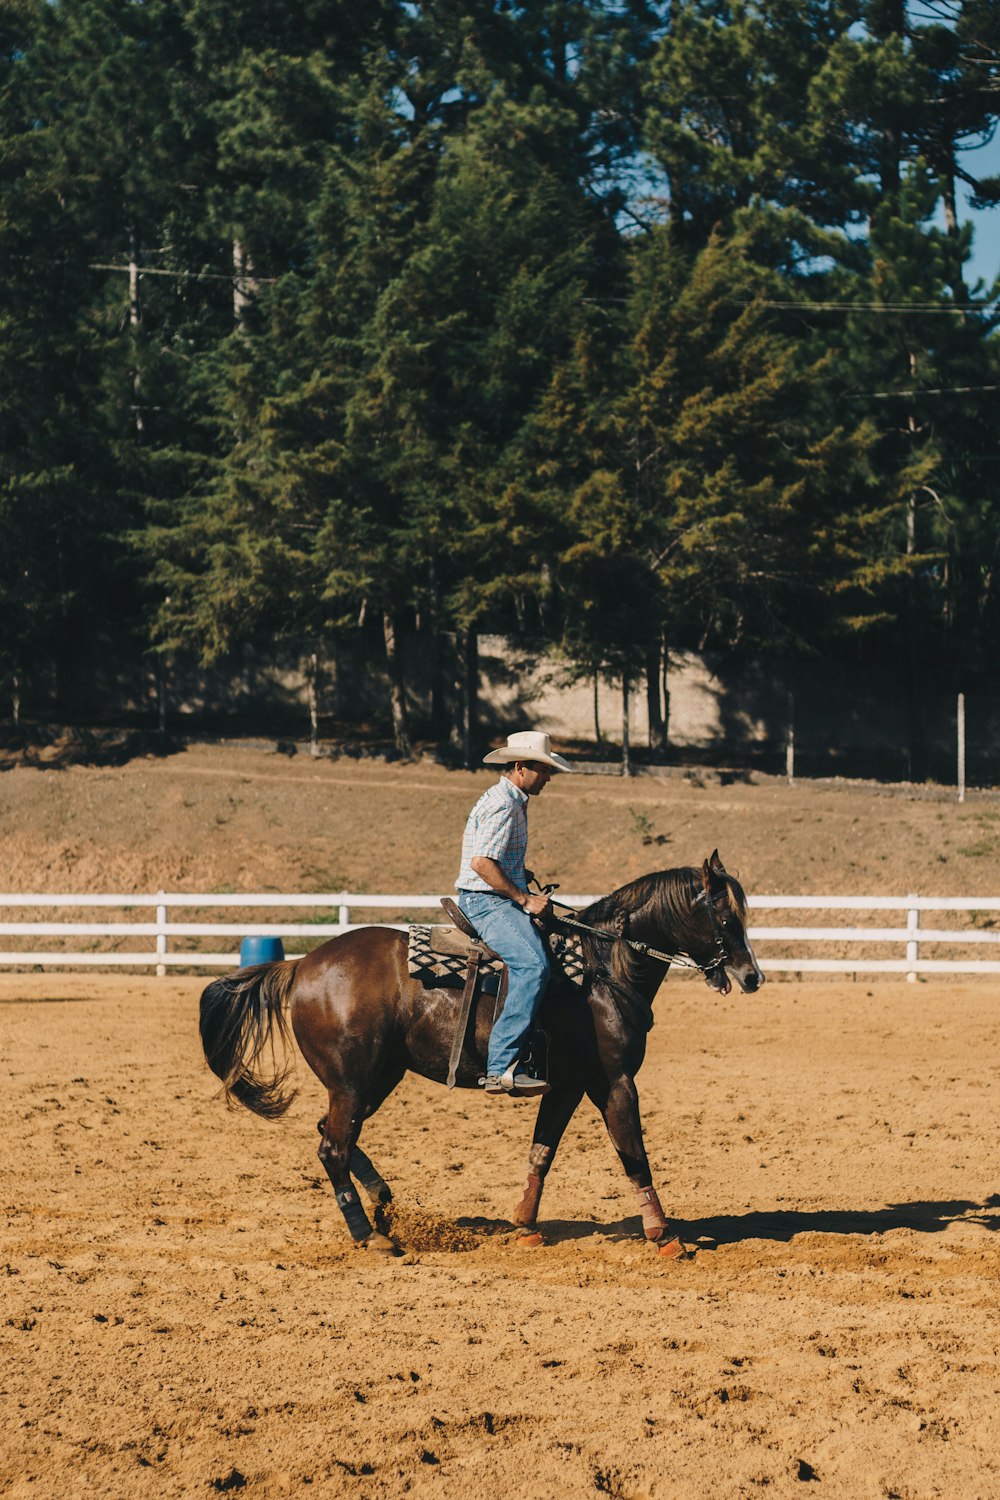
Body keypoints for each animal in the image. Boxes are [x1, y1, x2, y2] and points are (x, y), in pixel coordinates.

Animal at [200, 858, 767, 1254]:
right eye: (724, 916)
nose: (752, 976)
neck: (604, 968)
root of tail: (301, 965)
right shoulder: (614, 1081)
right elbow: (634, 1153)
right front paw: (664, 1234)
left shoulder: (566, 1085)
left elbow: (542, 1152)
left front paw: (525, 1227)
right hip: (354, 1082)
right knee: (332, 1147)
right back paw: (371, 1236)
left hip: (377, 1078)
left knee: (332, 1135)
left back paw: (383, 1199)